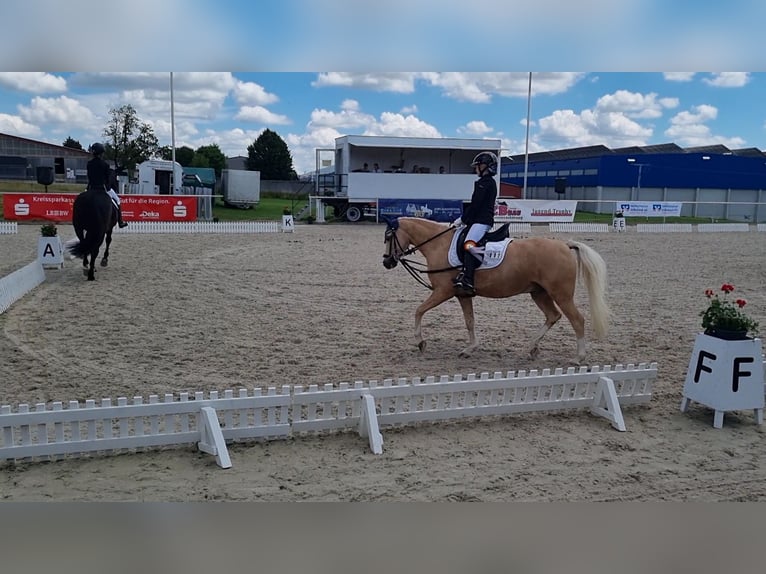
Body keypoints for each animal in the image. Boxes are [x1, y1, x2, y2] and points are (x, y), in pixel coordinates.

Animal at [384, 216, 612, 364]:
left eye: (388, 237)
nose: (387, 262)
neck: (439, 244)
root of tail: (565, 245)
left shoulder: (443, 292)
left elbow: (419, 311)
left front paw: (421, 342)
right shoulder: (462, 295)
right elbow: (469, 321)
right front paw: (470, 349)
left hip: (561, 294)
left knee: (577, 320)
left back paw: (578, 358)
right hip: (539, 293)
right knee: (552, 316)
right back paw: (531, 348)